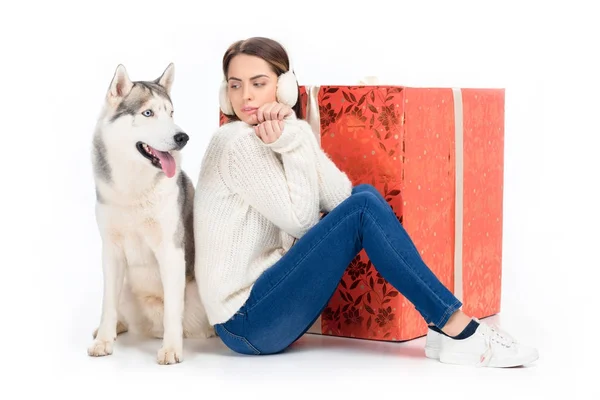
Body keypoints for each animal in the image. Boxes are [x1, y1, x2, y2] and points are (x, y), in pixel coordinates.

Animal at [86, 63, 213, 366]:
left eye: (171, 113)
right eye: (148, 113)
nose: (182, 137)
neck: (134, 190)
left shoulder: (171, 249)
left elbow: (173, 310)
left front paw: (171, 348)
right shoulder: (111, 250)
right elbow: (107, 303)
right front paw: (104, 341)